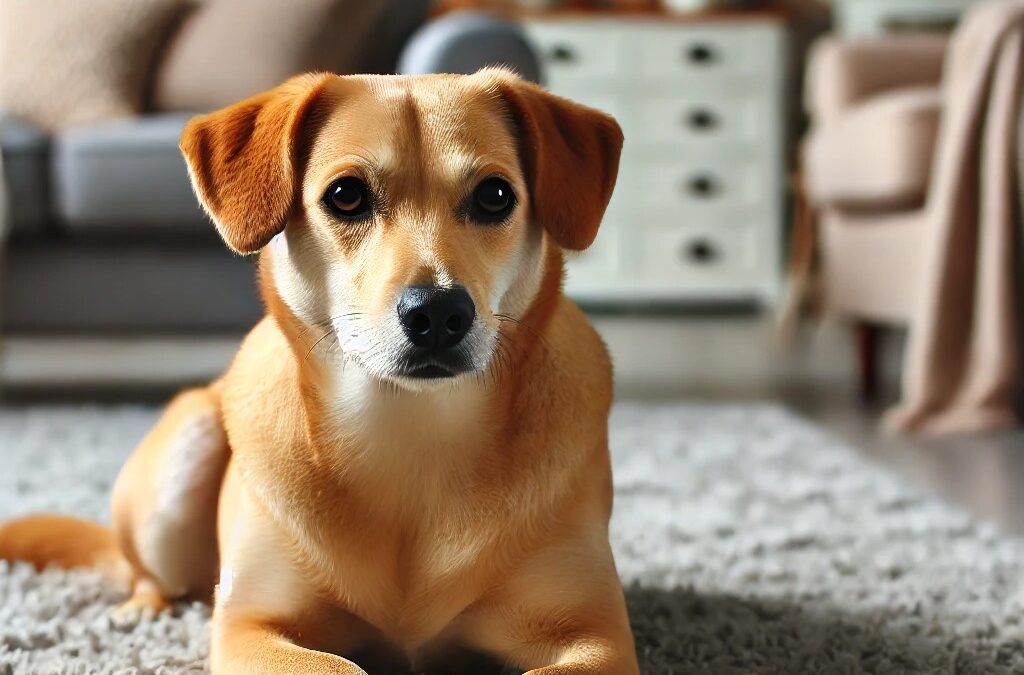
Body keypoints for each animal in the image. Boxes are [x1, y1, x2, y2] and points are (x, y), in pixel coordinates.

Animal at [0, 70, 638, 675]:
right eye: (346, 196)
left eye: (495, 195)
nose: (438, 312)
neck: (410, 430)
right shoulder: (249, 628)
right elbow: (334, 664)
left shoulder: (596, 638)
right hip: (182, 456)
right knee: (151, 573)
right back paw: (142, 609)